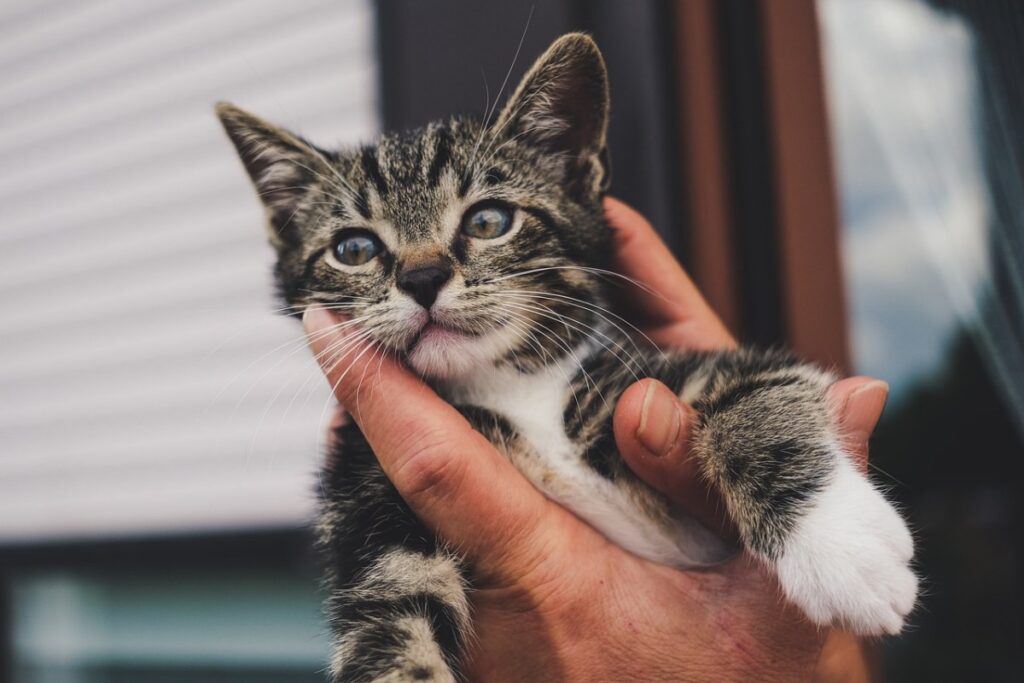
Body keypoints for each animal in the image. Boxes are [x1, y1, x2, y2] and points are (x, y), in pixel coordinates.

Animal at [218, 31, 921, 683]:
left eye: (488, 221)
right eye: (355, 249)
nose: (421, 278)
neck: (512, 390)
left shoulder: (671, 376)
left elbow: (758, 395)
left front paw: (842, 547)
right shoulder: (367, 492)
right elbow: (389, 614)